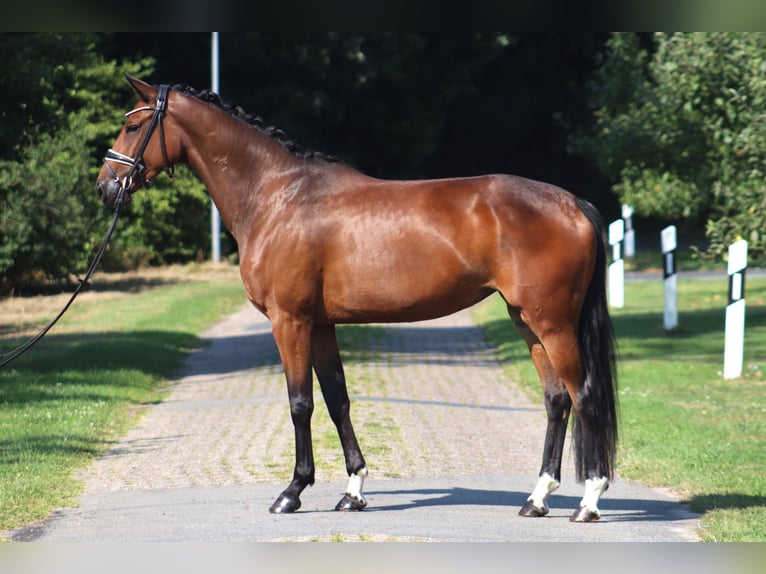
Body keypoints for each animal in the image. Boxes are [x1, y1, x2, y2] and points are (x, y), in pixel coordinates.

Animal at [99, 77, 620, 528]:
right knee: (556, 400)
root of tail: (573, 203)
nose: (105, 186)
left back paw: (589, 501)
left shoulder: (289, 322)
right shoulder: (320, 324)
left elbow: (300, 403)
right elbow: (337, 400)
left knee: (583, 394)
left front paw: (292, 492)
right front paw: (352, 492)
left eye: (133, 125)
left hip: (553, 324)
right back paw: (537, 499)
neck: (277, 197)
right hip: (528, 322)